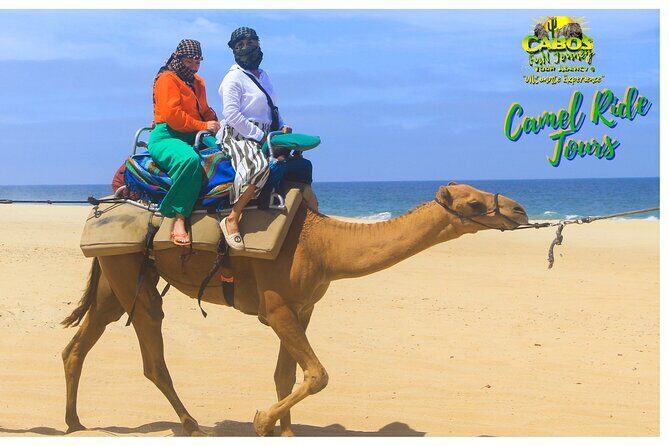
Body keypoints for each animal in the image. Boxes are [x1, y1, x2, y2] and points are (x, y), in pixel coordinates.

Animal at [61, 182, 528, 436]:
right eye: (473, 203)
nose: (520, 209)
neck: (322, 244)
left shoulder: (302, 308)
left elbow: (287, 374)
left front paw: (284, 430)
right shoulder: (277, 307)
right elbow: (318, 374)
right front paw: (260, 421)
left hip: (114, 274)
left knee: (77, 345)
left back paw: (75, 423)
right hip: (130, 276)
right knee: (152, 350)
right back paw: (193, 426)